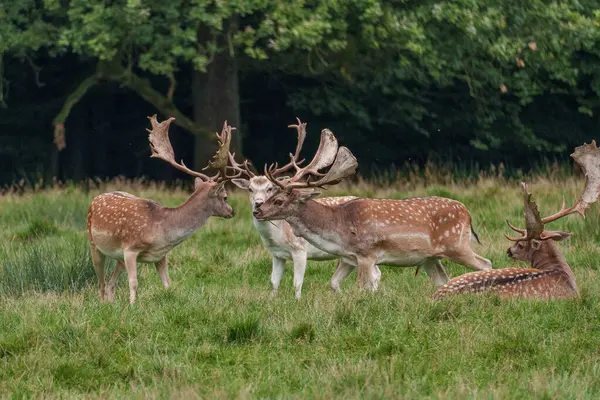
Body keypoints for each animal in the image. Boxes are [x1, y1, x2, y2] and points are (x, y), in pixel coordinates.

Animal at [86, 115, 251, 304]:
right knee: (101, 283)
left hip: (118, 257)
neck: (161, 231)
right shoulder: (130, 249)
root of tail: (96, 198)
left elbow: (168, 284)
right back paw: (103, 304)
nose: (232, 211)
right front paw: (133, 306)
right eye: (225, 197)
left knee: (111, 283)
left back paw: (112, 304)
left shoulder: (160, 256)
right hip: (94, 244)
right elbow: (133, 282)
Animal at [233, 119, 376, 300]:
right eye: (250, 189)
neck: (277, 236)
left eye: (270, 188)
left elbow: (297, 282)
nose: (258, 204)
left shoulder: (300, 250)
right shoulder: (276, 255)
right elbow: (273, 282)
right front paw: (272, 301)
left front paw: (297, 302)